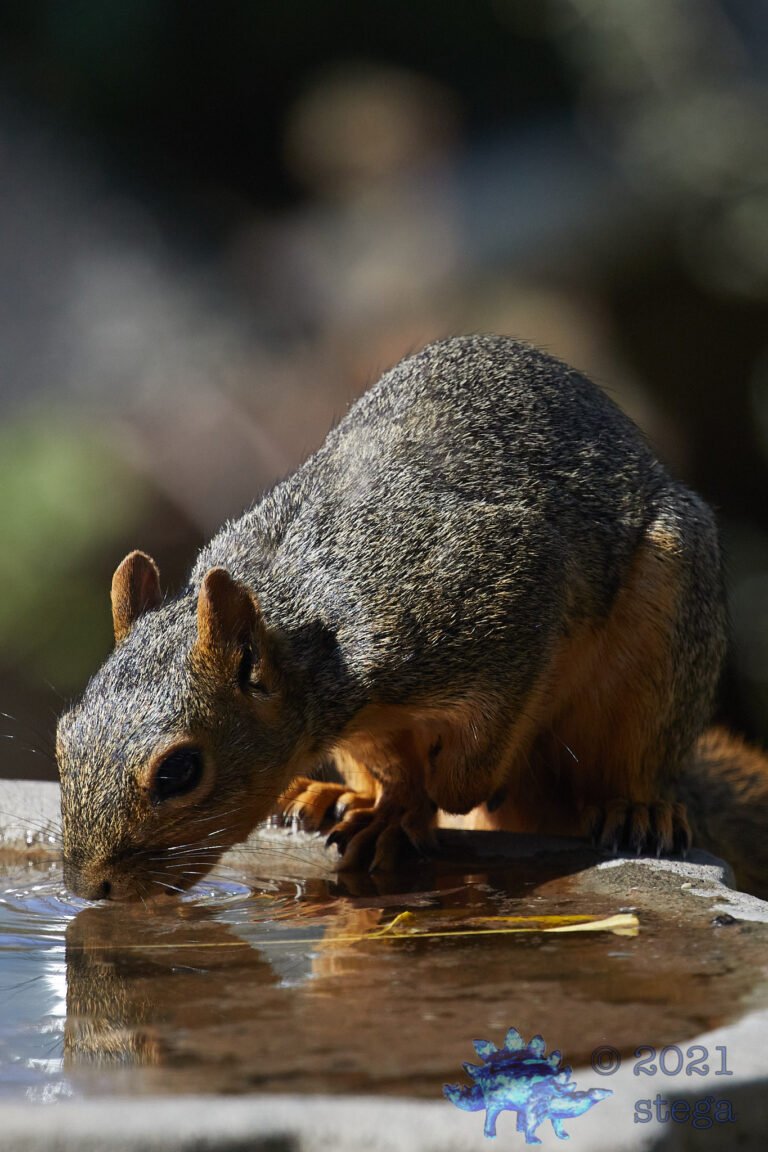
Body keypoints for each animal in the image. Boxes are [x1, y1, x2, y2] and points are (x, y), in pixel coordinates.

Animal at [55, 334, 768, 902]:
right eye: (62, 738)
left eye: (179, 771)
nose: (89, 888)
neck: (314, 620)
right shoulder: (358, 723)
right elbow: (393, 765)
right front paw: (396, 807)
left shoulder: (503, 593)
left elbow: (467, 768)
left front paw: (445, 794)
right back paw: (334, 797)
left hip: (667, 623)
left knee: (635, 758)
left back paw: (639, 808)